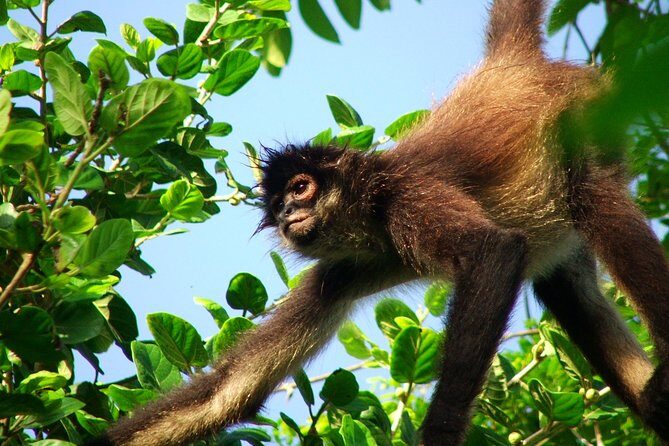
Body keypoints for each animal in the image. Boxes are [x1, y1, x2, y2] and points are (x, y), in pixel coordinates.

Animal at [89, 1, 669, 445]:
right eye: (277, 206)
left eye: (301, 188)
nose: (290, 215)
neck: (374, 226)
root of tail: (514, 65)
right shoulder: (338, 273)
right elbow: (229, 392)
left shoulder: (406, 202)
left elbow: (493, 251)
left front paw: (439, 437)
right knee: (569, 290)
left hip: (588, 117)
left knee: (594, 196)